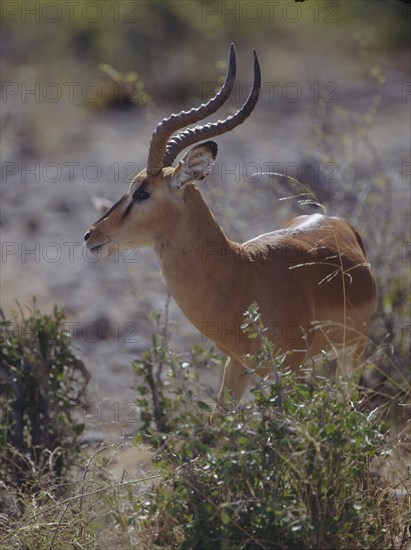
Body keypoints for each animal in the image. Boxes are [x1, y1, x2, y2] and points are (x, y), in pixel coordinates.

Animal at [83, 46, 376, 414]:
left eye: (141, 192)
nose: (91, 234)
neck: (243, 273)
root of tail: (336, 221)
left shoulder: (290, 367)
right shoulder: (237, 365)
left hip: (354, 351)